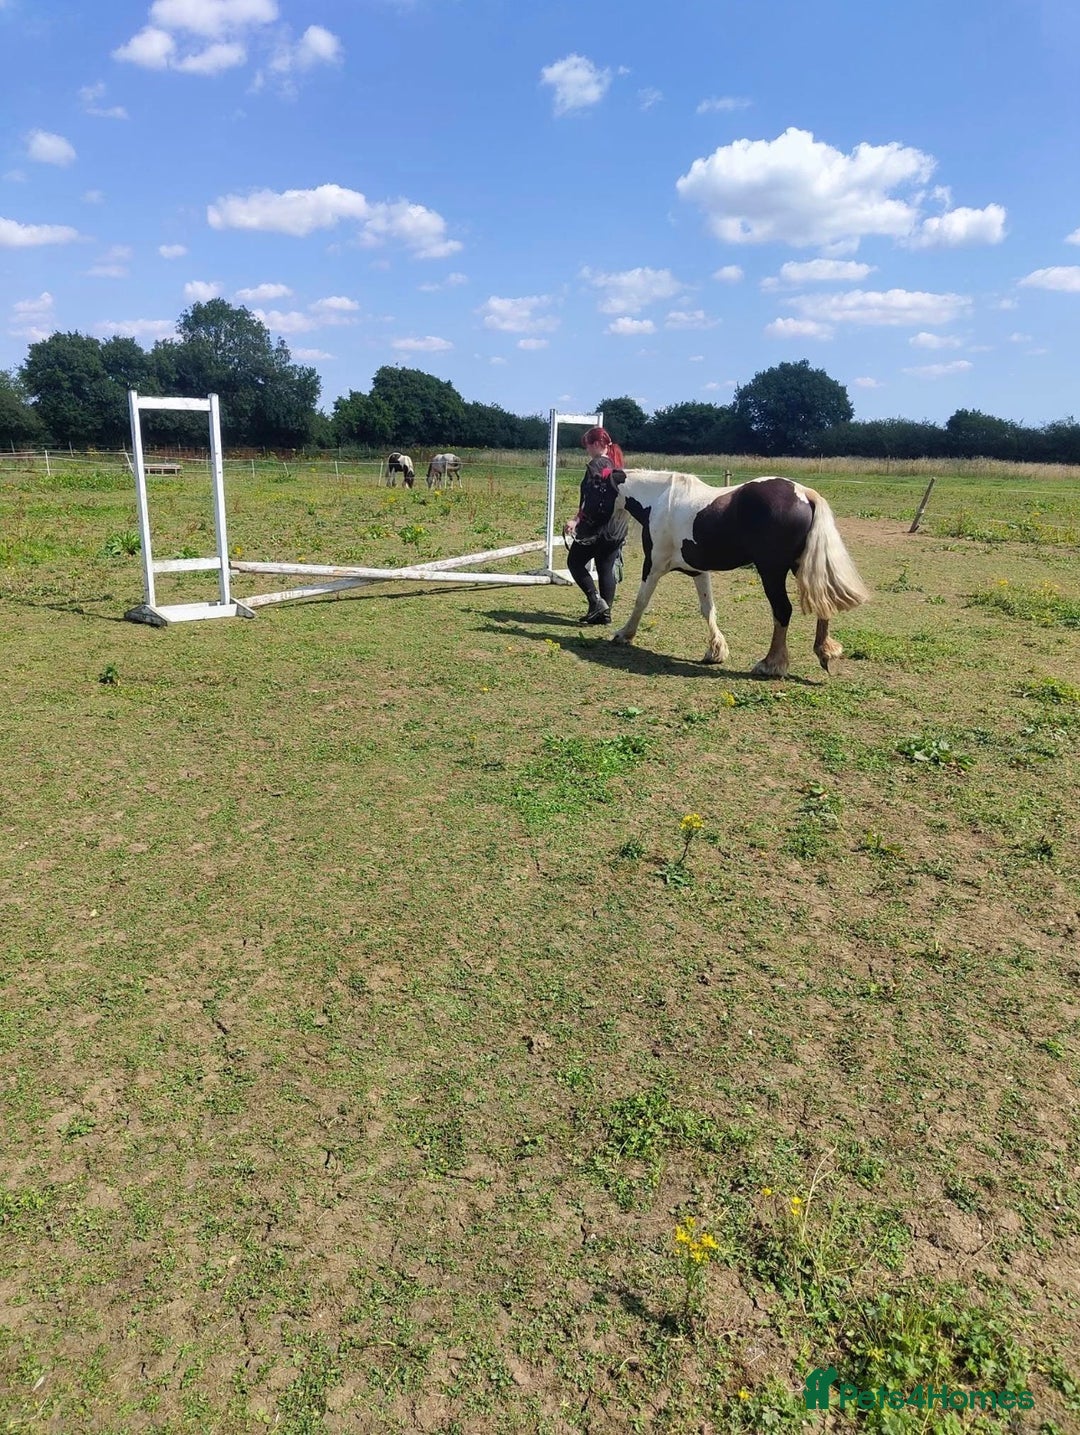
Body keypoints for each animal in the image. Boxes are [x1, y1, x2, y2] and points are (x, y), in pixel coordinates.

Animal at [571, 469, 869, 676]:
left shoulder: (653, 566)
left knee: (783, 610)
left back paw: (770, 664)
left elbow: (641, 600)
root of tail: (804, 493)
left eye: (591, 492)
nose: (577, 531)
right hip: (800, 567)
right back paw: (824, 653)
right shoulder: (698, 571)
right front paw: (716, 650)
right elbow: (708, 609)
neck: (660, 501)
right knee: (823, 603)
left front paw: (624, 634)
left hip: (771, 572)